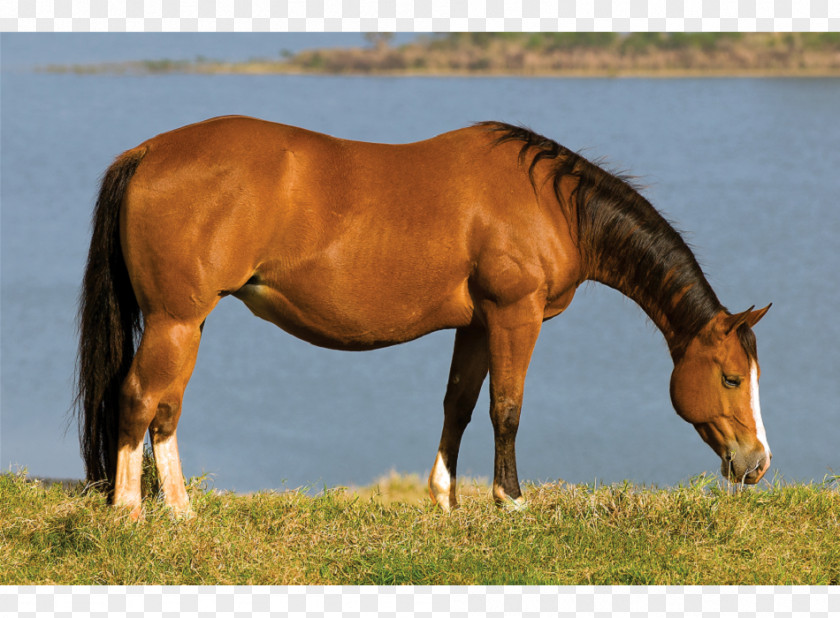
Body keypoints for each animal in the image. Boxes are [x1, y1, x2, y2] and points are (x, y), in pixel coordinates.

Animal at [75, 116, 772, 516]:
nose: (757, 463)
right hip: (174, 320)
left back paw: (181, 513)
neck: (548, 204)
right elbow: (506, 408)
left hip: (186, 324)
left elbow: (458, 406)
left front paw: (445, 499)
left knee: (166, 406)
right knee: (138, 397)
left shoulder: (477, 324)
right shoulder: (515, 316)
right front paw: (511, 503)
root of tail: (149, 151)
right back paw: (131, 513)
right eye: (731, 378)